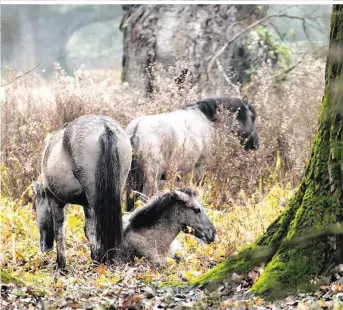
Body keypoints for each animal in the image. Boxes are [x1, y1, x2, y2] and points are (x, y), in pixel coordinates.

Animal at [32, 115, 132, 268]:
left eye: (36, 208)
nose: (44, 246)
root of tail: (105, 127)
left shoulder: (55, 202)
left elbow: (59, 231)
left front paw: (61, 264)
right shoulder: (87, 205)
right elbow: (88, 231)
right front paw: (95, 257)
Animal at [125, 96, 260, 211]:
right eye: (252, 117)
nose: (256, 144)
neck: (205, 119)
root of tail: (136, 132)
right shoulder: (200, 166)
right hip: (151, 179)